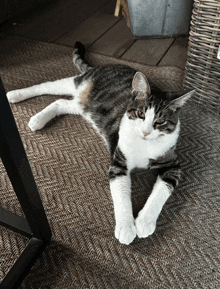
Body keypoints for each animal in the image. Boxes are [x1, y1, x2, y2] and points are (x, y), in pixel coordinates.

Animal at [6, 41, 193, 243]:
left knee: (60, 102)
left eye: (160, 121)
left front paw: (144, 222)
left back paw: (38, 119)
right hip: (79, 83)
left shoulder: (173, 165)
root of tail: (102, 67)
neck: (144, 145)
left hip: (84, 106)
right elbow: (121, 194)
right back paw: (15, 94)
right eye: (140, 114)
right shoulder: (118, 162)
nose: (145, 131)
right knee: (48, 85)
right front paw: (126, 228)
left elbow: (161, 192)